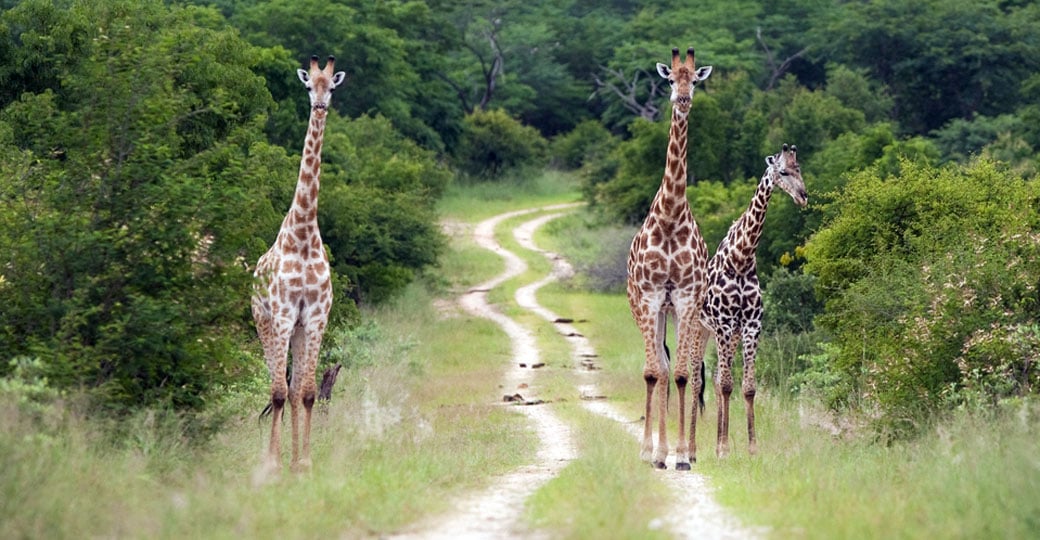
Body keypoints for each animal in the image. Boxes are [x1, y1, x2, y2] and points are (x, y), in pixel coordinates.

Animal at [699, 143, 807, 458]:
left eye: (799, 169)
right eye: (782, 171)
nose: (803, 196)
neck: (741, 259)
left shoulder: (750, 326)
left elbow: (747, 387)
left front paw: (751, 447)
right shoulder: (723, 324)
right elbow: (726, 384)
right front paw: (724, 449)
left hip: (725, 334)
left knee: (713, 378)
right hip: (700, 329)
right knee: (697, 378)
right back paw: (695, 444)